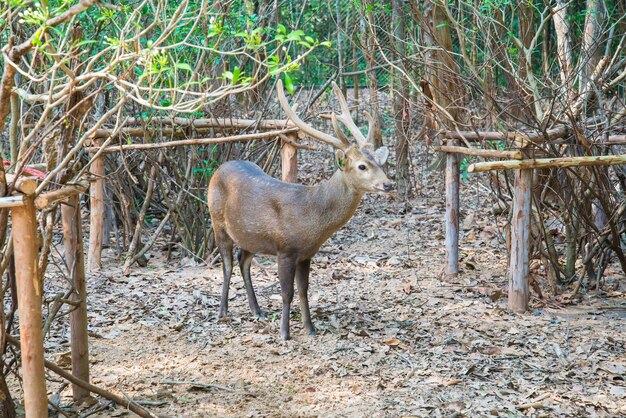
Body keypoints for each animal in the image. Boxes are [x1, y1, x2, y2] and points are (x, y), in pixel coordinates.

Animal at [207, 79, 392, 340]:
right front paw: (285, 333)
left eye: (380, 162)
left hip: (250, 235)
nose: (388, 184)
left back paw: (257, 310)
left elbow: (304, 290)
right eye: (362, 166)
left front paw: (310, 328)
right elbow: (287, 293)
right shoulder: (285, 249)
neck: (311, 220)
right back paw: (223, 311)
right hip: (217, 221)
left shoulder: (307, 254)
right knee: (227, 263)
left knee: (243, 260)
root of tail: (218, 170)